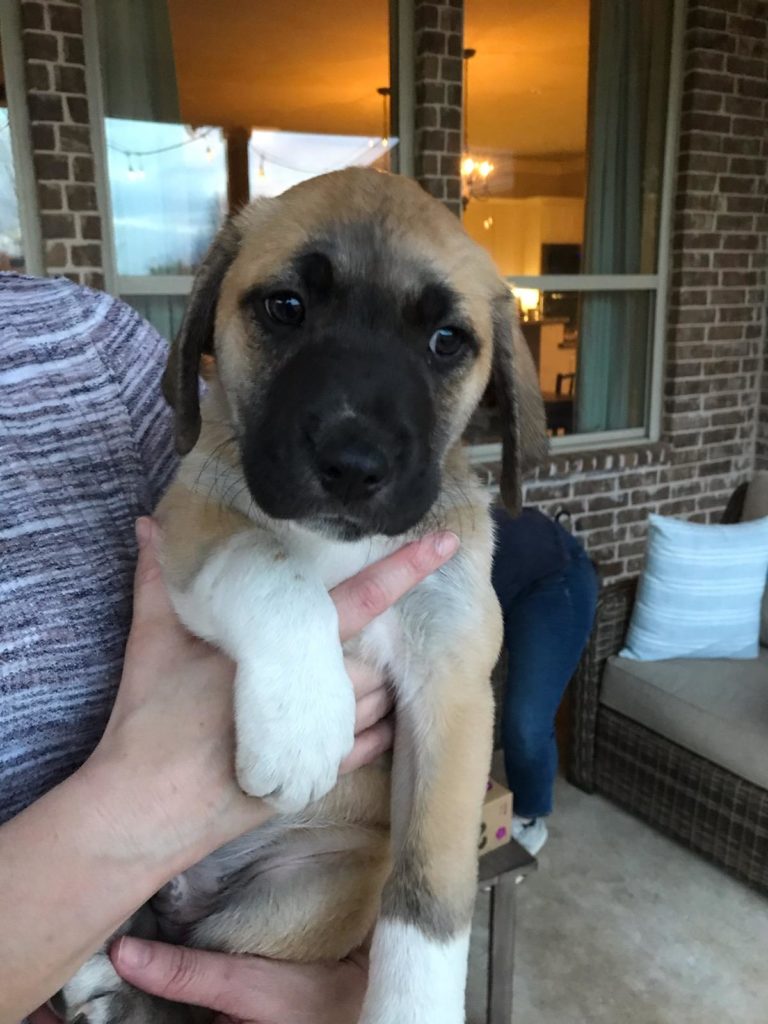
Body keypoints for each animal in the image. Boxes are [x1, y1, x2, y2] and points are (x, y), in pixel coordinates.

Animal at [57, 167, 548, 1024]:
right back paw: (97, 976)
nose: (353, 464)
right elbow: (269, 563)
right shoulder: (192, 521)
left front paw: (413, 1008)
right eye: (286, 307)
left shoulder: (452, 685)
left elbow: (428, 901)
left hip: (305, 893)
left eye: (446, 341)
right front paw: (301, 722)